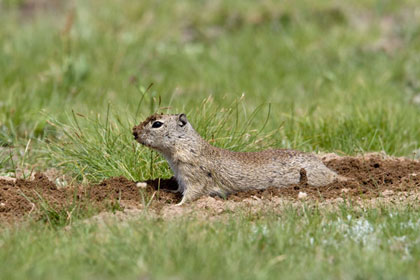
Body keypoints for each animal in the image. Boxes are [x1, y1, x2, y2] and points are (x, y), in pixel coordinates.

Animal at [134, 113, 338, 203]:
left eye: (157, 124)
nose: (133, 132)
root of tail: (332, 173)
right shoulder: (181, 177)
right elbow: (179, 189)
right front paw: (165, 191)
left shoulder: (195, 177)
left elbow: (192, 194)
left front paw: (178, 206)